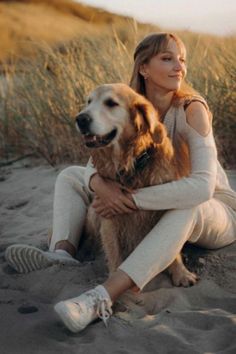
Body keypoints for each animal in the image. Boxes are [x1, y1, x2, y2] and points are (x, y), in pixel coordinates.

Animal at [75, 83, 197, 288]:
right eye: (88, 102)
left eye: (111, 103)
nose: (80, 119)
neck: (130, 162)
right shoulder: (108, 213)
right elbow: (114, 253)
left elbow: (171, 248)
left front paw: (181, 273)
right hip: (93, 211)